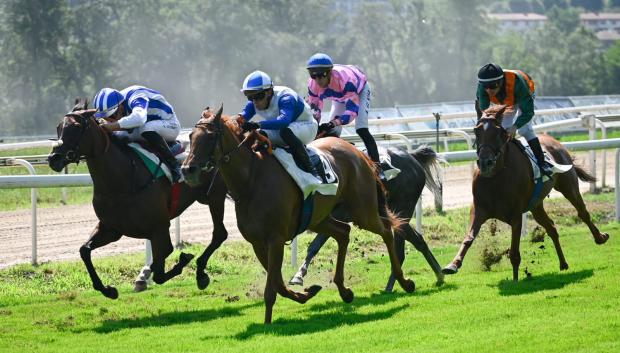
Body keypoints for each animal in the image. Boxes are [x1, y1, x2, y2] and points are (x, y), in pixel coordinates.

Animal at [47, 98, 229, 296]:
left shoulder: (159, 227)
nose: (53, 158)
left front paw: (181, 260)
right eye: (58, 127)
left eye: (77, 126)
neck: (122, 182)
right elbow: (84, 250)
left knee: (220, 233)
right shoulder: (111, 228)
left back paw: (201, 274)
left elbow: (161, 267)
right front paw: (108, 290)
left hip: (215, 196)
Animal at [183, 105, 416, 324]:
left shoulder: (275, 239)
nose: (187, 170)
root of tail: (358, 152)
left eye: (210, 136)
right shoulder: (258, 243)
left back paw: (404, 281)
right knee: (343, 232)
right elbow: (277, 283)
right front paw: (306, 293)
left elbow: (273, 287)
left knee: (386, 230)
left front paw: (267, 323)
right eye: (191, 136)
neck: (251, 181)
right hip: (318, 218)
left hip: (362, 210)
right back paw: (344, 291)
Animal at [290, 144, 446, 290]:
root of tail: (412, 157)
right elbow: (315, 245)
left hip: (402, 209)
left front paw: (298, 276)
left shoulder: (338, 214)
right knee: (417, 240)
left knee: (400, 250)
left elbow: (315, 244)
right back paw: (438, 275)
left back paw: (392, 286)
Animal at [440, 104, 612, 280]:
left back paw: (600, 238)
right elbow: (469, 237)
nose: (485, 162)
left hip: (568, 186)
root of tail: (556, 142)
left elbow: (515, 252)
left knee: (582, 212)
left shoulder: (516, 214)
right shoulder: (479, 209)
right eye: (476, 130)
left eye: (499, 132)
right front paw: (453, 265)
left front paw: (516, 280)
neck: (496, 177)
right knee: (551, 227)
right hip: (536, 205)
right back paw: (563, 263)